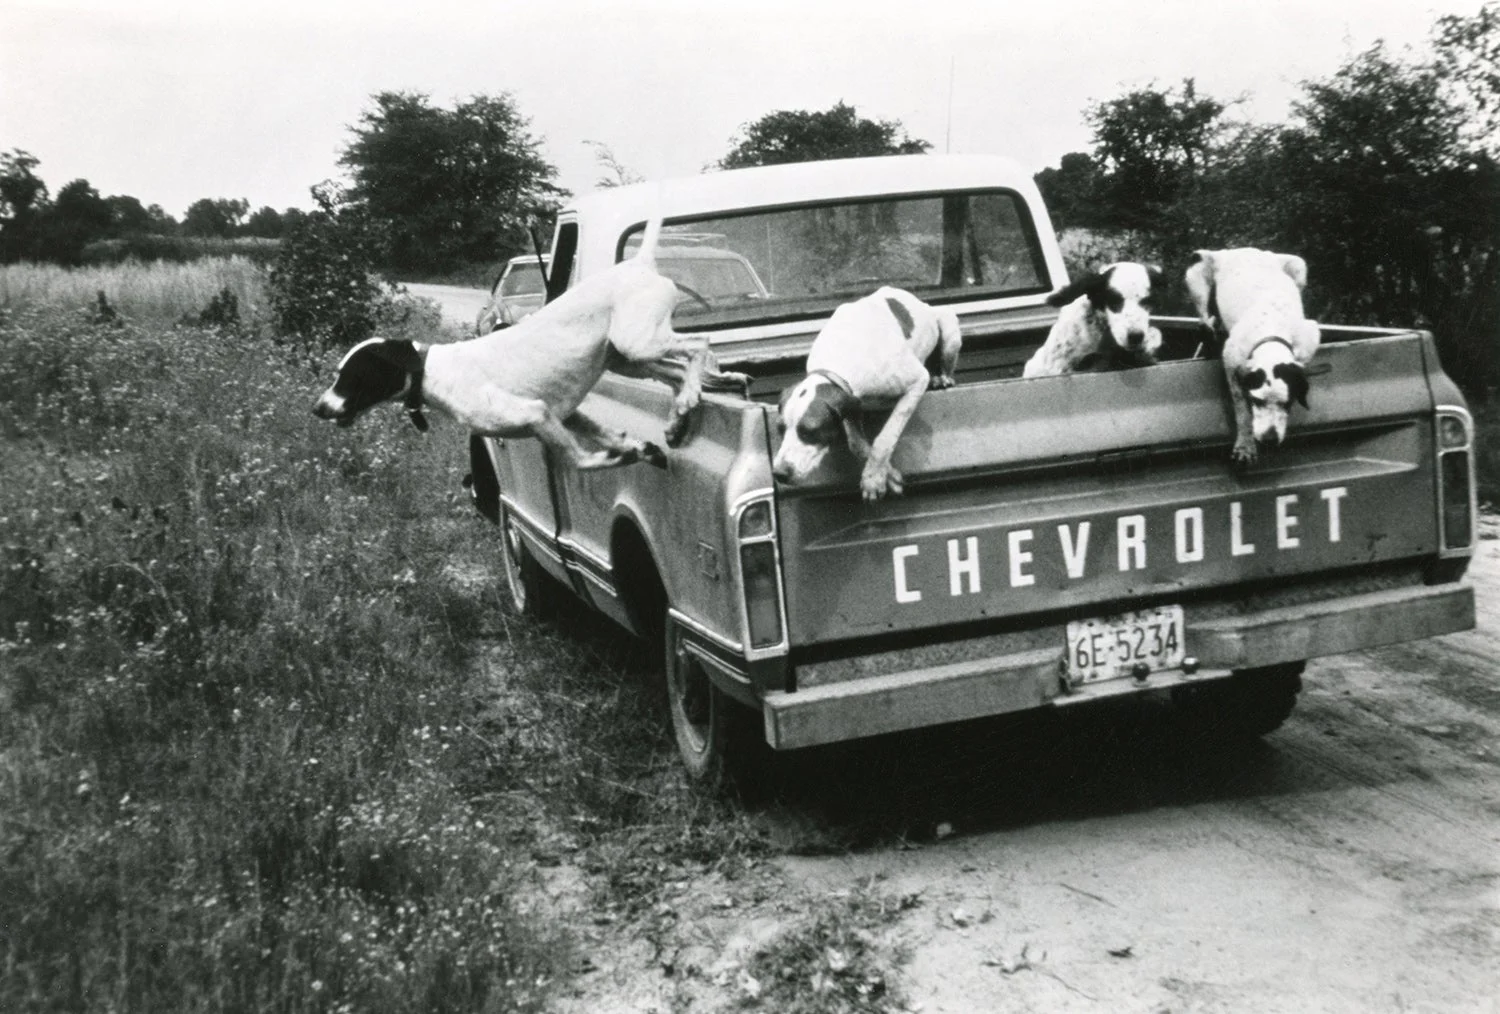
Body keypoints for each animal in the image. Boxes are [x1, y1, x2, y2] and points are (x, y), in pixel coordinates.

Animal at [310, 217, 732, 468]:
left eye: (351, 376)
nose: (317, 408)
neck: (432, 372)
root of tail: (640, 262)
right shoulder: (564, 413)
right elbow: (613, 436)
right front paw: (635, 449)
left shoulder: (535, 413)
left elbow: (580, 459)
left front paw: (614, 458)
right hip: (625, 357)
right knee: (677, 371)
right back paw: (680, 414)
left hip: (637, 343)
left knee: (700, 344)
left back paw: (694, 393)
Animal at [774, 286, 960, 501]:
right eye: (779, 429)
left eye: (809, 431)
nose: (778, 473)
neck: (840, 355)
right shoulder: (850, 403)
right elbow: (857, 445)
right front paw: (885, 474)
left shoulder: (917, 380)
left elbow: (884, 439)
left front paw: (873, 479)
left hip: (949, 326)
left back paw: (943, 378)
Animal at [1182, 246, 1326, 468]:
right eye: (1256, 401)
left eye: (1287, 403)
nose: (1270, 439)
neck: (1271, 330)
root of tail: (1241, 250)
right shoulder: (1232, 361)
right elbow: (1241, 409)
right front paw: (1245, 446)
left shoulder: (1309, 336)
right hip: (1198, 269)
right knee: (1205, 317)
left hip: (1299, 267)